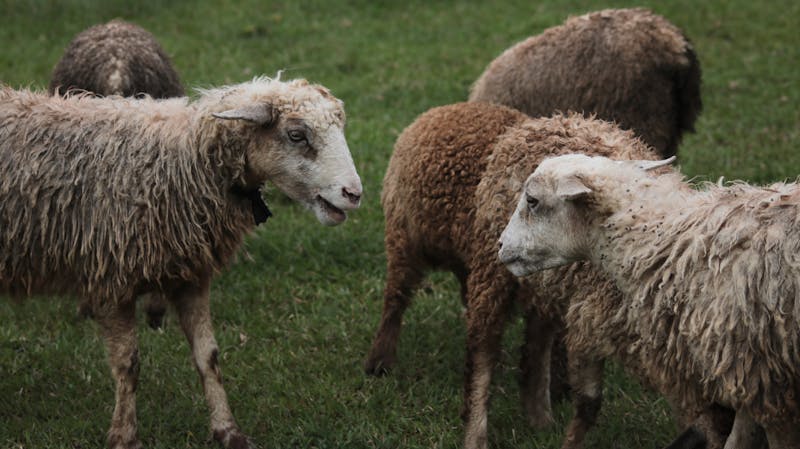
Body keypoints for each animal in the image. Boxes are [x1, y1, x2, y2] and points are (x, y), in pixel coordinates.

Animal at [0, 76, 362, 449]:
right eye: (296, 135)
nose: (354, 194)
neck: (181, 164)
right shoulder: (111, 280)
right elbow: (128, 364)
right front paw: (124, 436)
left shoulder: (192, 278)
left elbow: (209, 357)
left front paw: (227, 430)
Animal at [364, 101, 722, 449]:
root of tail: (449, 110)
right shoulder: (589, 322)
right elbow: (587, 404)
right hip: (426, 247)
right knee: (428, 317)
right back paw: (386, 367)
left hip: (536, 284)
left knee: (533, 347)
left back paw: (538, 417)